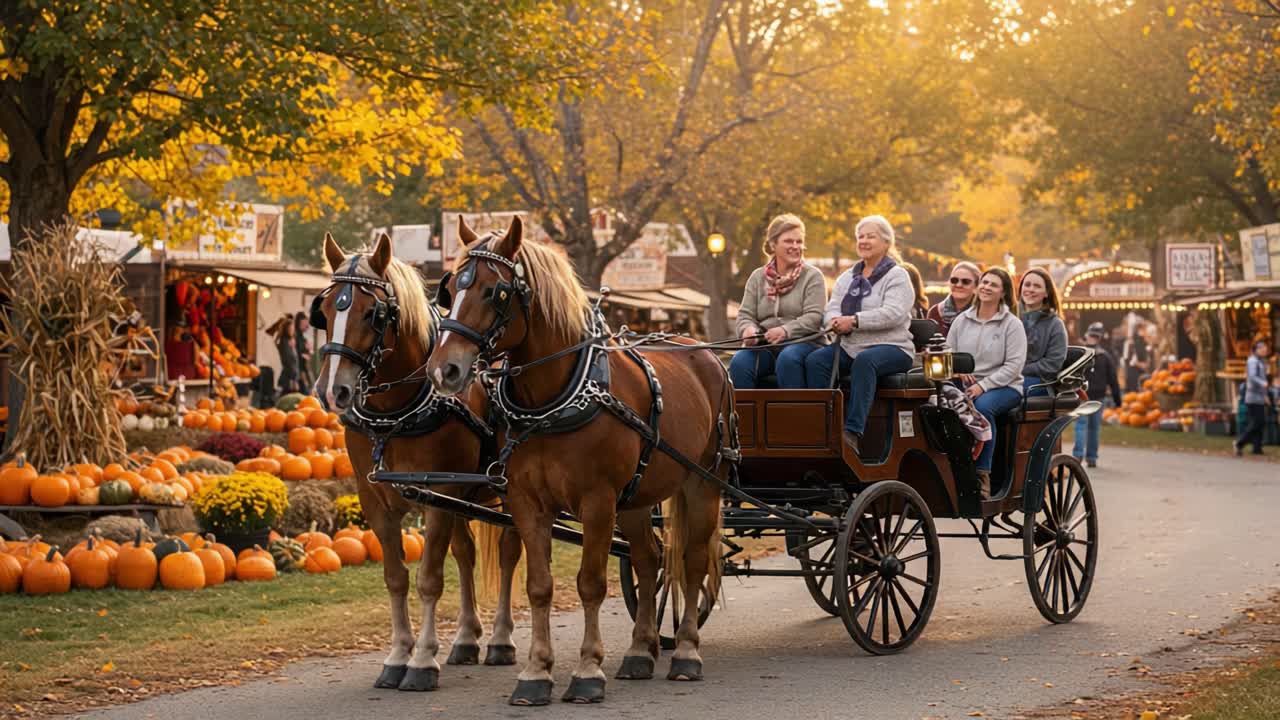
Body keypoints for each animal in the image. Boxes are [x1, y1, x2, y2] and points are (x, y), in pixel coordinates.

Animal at [311, 232, 523, 692]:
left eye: (373, 313)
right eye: (325, 309)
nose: (333, 391)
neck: (397, 413)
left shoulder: (436, 494)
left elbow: (429, 579)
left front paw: (423, 661)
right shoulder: (378, 502)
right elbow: (396, 578)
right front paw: (397, 656)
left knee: (510, 552)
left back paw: (500, 639)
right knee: (466, 553)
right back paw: (466, 639)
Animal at [426, 217, 732, 706]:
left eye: (495, 291)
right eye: (450, 287)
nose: (444, 370)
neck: (554, 399)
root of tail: (704, 350)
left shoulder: (597, 501)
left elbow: (590, 583)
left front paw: (588, 670)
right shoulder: (528, 503)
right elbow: (539, 586)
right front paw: (536, 672)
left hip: (703, 483)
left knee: (693, 561)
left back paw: (685, 652)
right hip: (638, 497)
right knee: (649, 560)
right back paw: (641, 650)